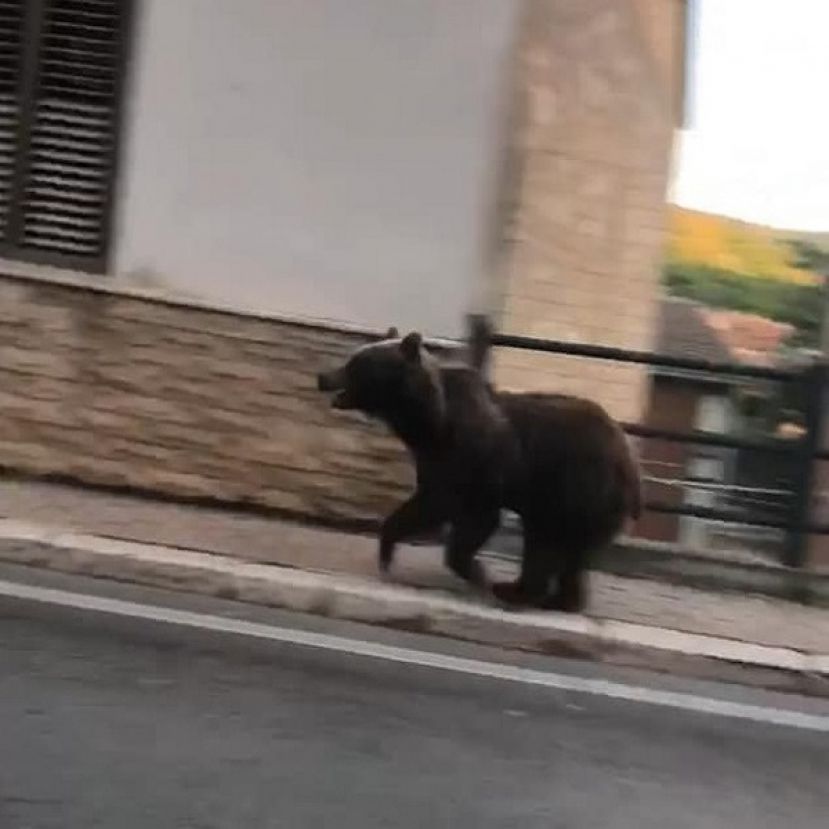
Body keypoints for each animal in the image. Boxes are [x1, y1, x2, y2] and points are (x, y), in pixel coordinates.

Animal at [317, 328, 641, 612]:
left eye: (355, 364)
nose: (323, 377)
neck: (430, 423)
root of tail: (629, 461)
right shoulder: (435, 461)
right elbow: (426, 504)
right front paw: (386, 554)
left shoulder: (473, 460)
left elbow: (469, 516)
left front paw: (477, 572)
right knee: (568, 553)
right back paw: (558, 599)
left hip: (573, 489)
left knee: (546, 541)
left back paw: (515, 591)